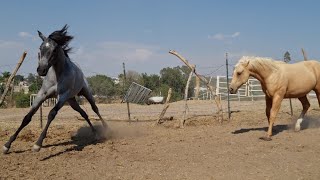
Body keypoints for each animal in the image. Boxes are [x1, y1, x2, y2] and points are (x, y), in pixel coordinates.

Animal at [2, 24, 107, 154]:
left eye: (54, 50)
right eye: (40, 48)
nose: (41, 70)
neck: (57, 75)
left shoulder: (62, 96)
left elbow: (51, 114)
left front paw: (38, 144)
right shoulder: (42, 94)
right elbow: (27, 117)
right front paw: (7, 145)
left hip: (85, 93)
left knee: (95, 109)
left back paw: (105, 128)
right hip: (72, 101)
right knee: (84, 114)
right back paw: (95, 134)